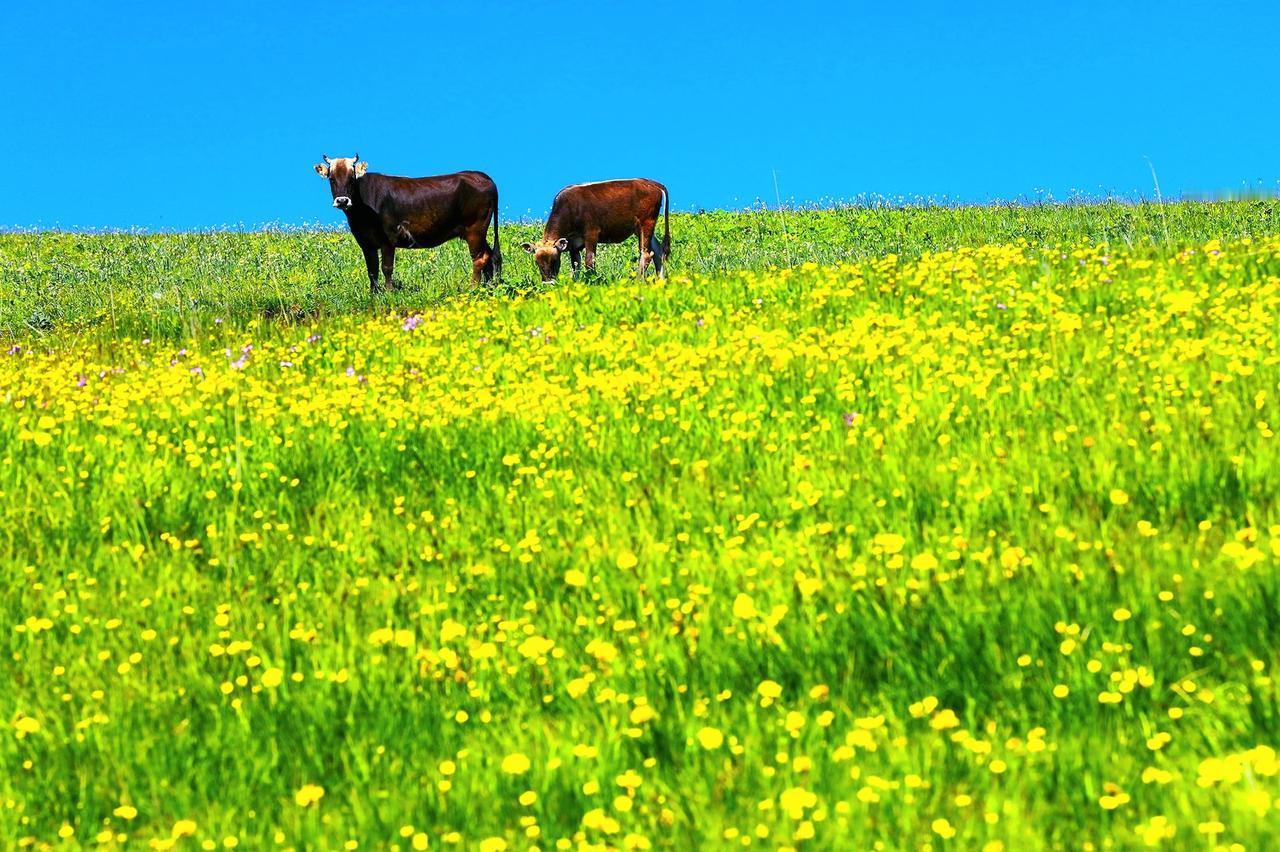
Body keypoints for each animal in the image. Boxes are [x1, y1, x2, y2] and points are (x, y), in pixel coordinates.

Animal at [312, 156, 501, 291]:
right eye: (331, 178)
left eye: (352, 178)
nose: (342, 200)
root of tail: (480, 175)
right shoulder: (366, 242)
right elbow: (372, 270)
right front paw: (374, 295)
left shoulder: (388, 239)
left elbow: (386, 268)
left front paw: (389, 293)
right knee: (491, 256)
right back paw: (489, 287)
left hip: (474, 228)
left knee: (480, 258)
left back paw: (473, 288)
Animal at [519, 177, 670, 284]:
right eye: (536, 262)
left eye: (555, 260)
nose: (548, 284)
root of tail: (653, 183)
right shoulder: (573, 244)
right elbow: (576, 265)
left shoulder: (591, 233)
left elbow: (589, 261)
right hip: (640, 228)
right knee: (658, 251)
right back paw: (661, 280)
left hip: (646, 222)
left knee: (646, 254)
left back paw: (639, 281)